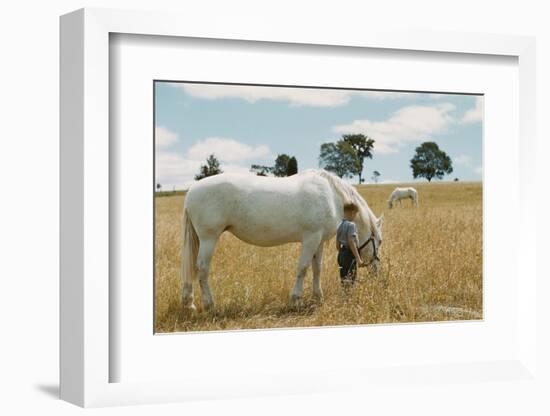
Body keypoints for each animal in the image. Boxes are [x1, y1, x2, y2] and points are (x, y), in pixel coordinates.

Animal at [181, 168, 384, 308]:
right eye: (379, 241)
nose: (376, 270)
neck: (332, 196)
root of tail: (191, 191)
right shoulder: (310, 238)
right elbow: (303, 268)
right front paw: (296, 300)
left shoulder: (318, 241)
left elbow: (317, 268)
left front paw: (318, 296)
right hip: (209, 238)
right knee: (202, 268)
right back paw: (209, 304)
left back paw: (189, 303)